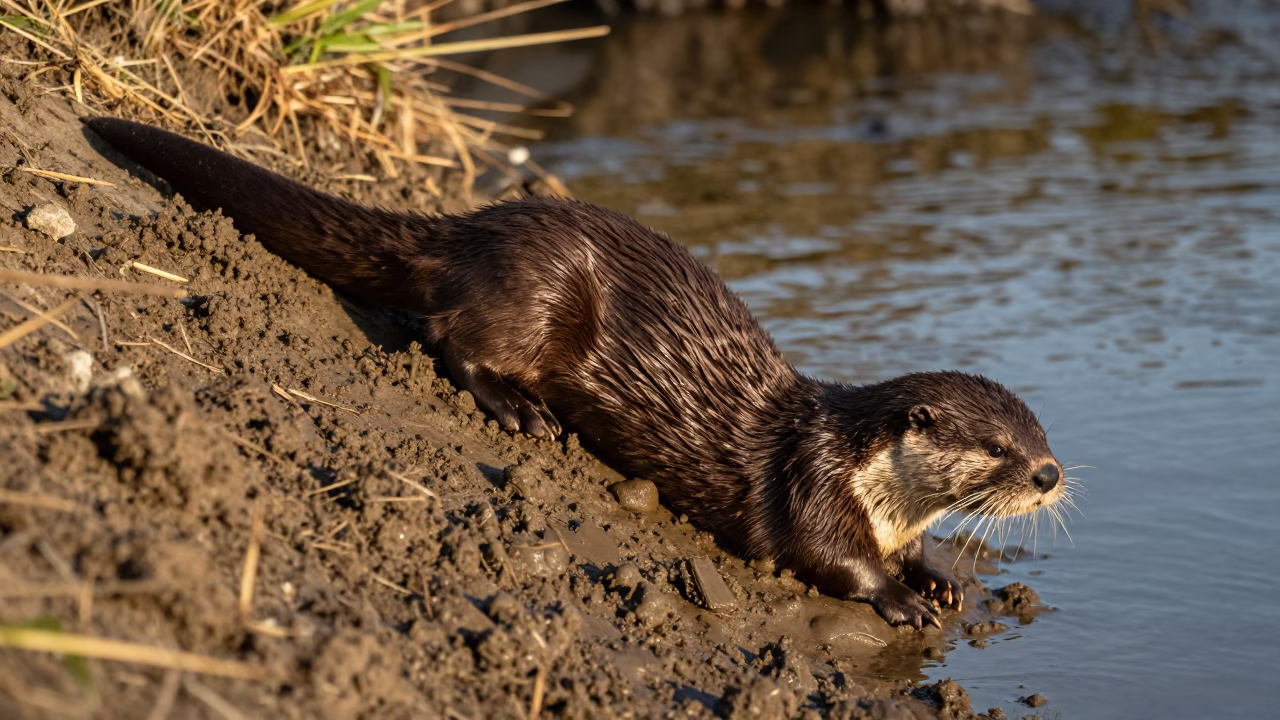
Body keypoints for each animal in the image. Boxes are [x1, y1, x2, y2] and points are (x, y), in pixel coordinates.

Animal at [84, 117, 1065, 629]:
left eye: (1040, 433)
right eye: (996, 448)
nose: (1052, 475)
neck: (873, 488)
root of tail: (475, 224)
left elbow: (915, 550)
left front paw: (937, 575)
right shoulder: (813, 484)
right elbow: (831, 559)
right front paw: (900, 598)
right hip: (540, 293)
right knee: (450, 336)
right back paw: (518, 411)